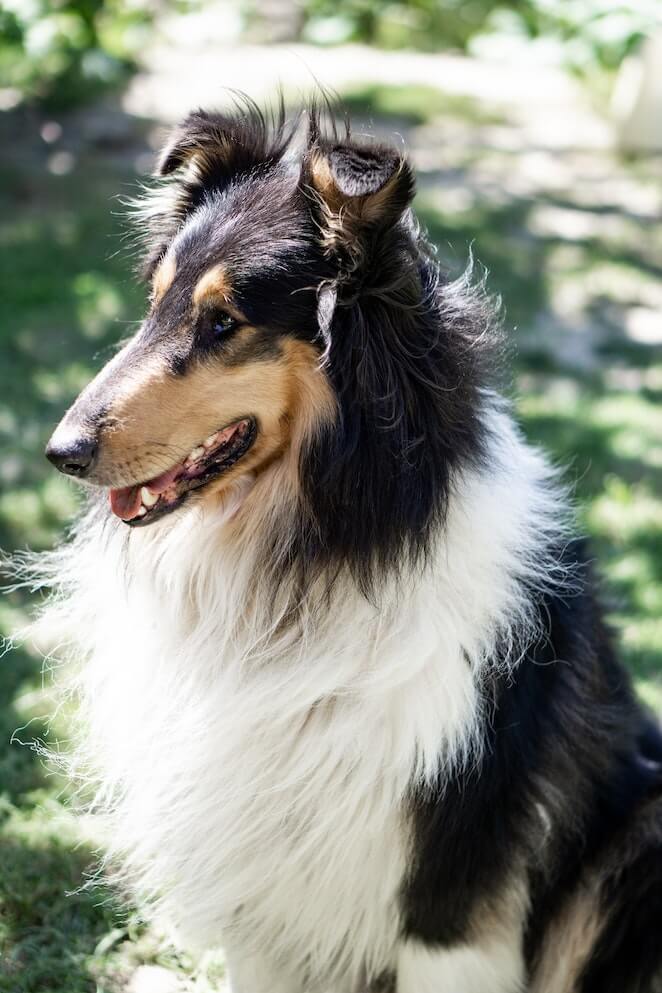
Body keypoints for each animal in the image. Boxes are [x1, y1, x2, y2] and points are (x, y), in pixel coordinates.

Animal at [37, 95, 662, 992]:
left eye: (223, 321)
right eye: (154, 302)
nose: (62, 451)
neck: (314, 555)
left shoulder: (448, 899)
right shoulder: (263, 904)